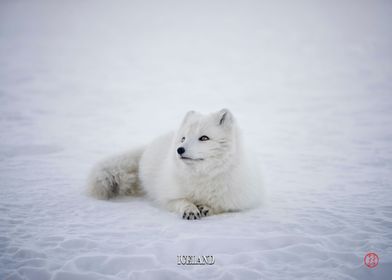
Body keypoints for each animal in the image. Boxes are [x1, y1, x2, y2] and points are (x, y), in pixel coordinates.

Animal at [87, 108, 262, 220]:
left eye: (204, 138)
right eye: (183, 138)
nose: (179, 149)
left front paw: (207, 207)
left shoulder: (240, 200)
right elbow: (180, 201)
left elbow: (222, 206)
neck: (202, 175)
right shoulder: (167, 196)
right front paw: (190, 209)